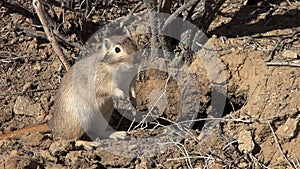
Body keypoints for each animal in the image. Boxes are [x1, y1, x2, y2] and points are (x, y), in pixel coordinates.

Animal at [0, 35, 138, 140]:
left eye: (133, 43)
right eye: (117, 49)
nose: (136, 59)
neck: (115, 66)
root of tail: (52, 124)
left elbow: (131, 87)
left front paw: (134, 97)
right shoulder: (100, 80)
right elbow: (109, 88)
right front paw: (121, 94)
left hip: (103, 116)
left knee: (99, 131)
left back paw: (118, 134)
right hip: (79, 121)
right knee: (72, 140)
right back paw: (89, 144)